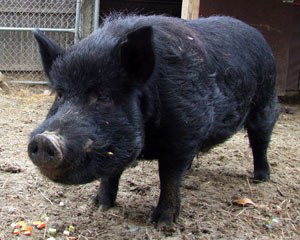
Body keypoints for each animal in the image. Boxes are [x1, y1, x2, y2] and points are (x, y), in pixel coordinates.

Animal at [27, 15, 278, 225]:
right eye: (60, 94)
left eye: (104, 96)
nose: (45, 139)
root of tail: (257, 34)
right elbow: (111, 172)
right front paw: (99, 205)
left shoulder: (183, 132)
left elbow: (168, 177)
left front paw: (161, 223)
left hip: (265, 100)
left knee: (260, 140)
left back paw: (261, 178)